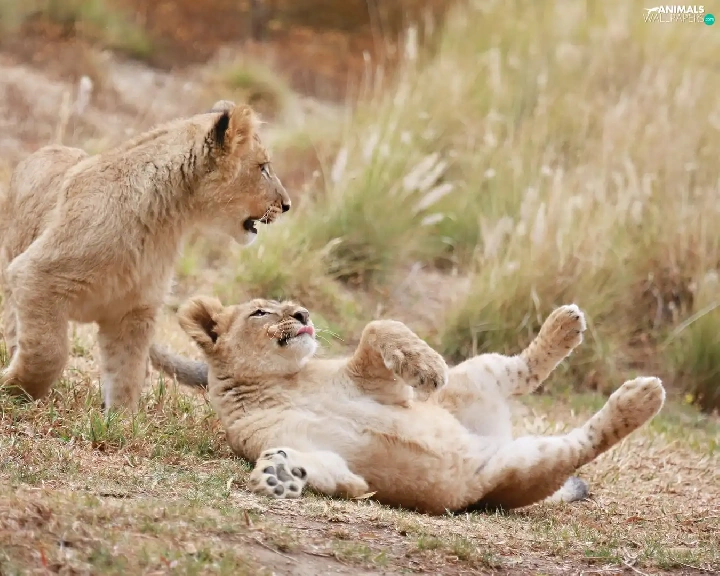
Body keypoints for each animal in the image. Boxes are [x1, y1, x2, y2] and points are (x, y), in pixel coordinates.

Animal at [0, 101, 291, 409]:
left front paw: (119, 418)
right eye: (263, 168)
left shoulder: (135, 310)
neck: (167, 220)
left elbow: (127, 372)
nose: (287, 204)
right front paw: (16, 390)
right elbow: (48, 351)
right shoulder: (35, 273)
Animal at [149, 296, 666, 514]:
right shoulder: (312, 449)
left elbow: (379, 326)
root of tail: (492, 442)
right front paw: (279, 475)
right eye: (260, 311)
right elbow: (330, 472)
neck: (280, 383)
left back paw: (568, 328)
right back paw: (638, 398)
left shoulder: (378, 382)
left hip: (476, 376)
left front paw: (426, 366)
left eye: (287, 303)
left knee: (524, 370)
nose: (303, 313)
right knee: (584, 443)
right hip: (521, 468)